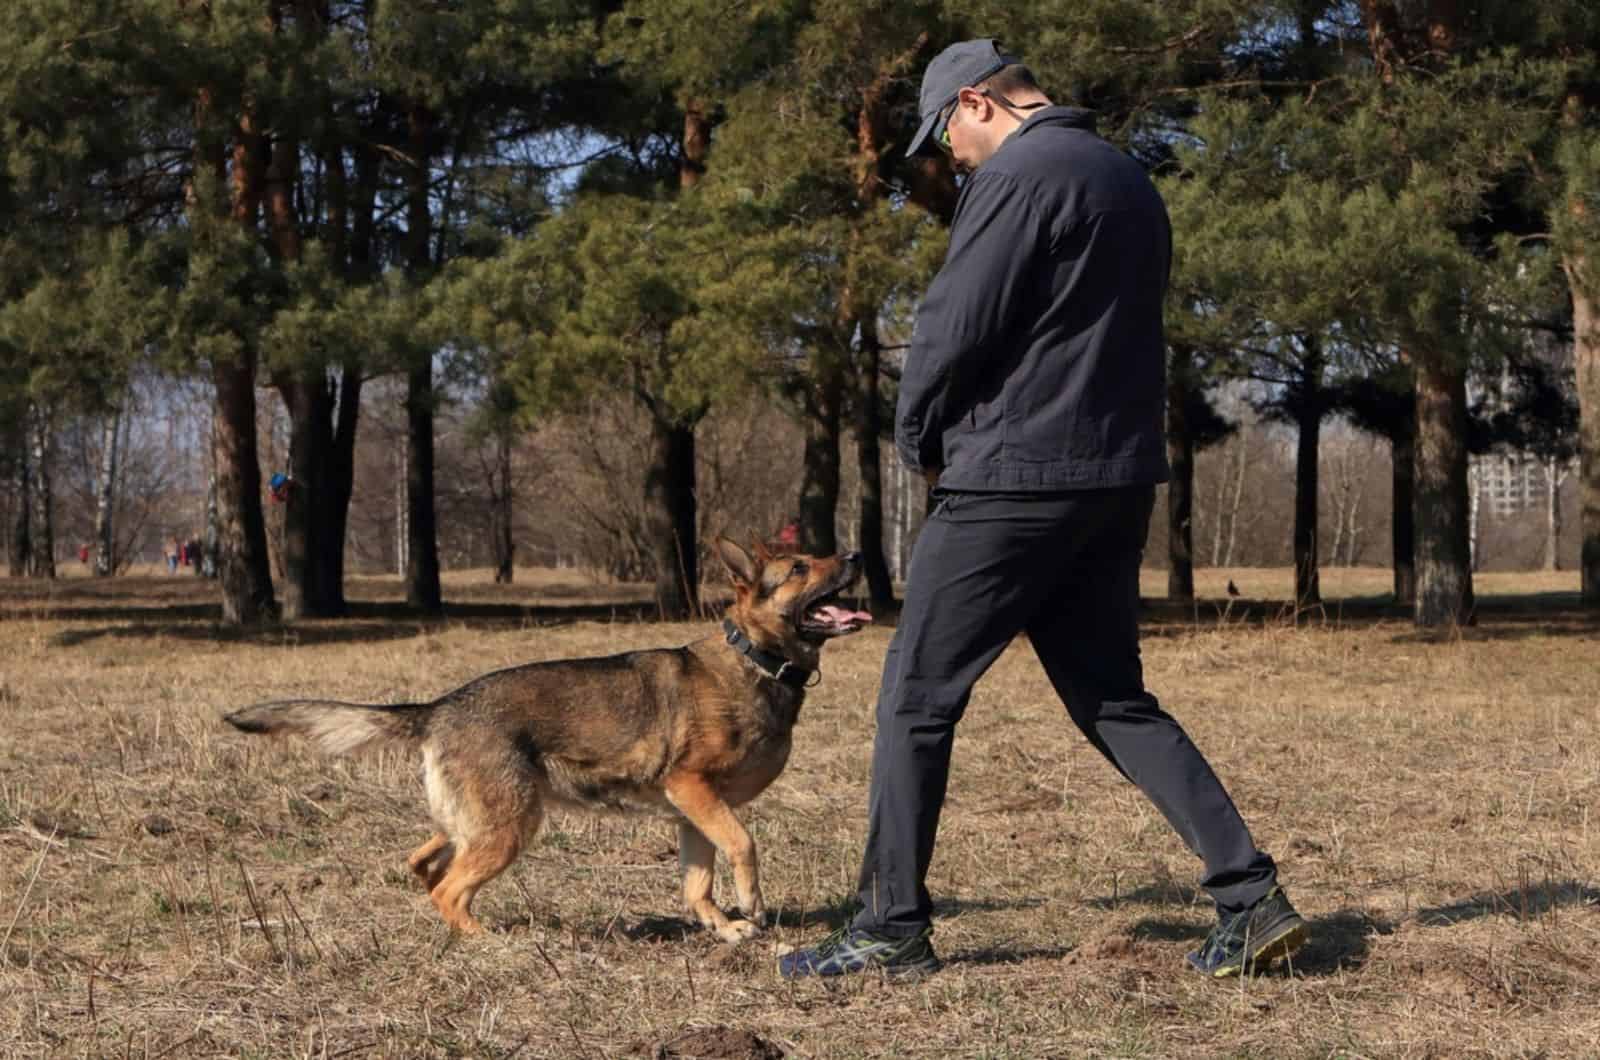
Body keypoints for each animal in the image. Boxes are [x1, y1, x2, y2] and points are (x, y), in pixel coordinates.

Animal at [220, 544, 870, 941]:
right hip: (510, 827)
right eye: (800, 568)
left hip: (477, 823)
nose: (856, 554)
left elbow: (697, 882)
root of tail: (440, 707)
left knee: (424, 864)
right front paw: (751, 904)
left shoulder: (692, 814)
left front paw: (723, 926)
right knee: (449, 890)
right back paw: (486, 940)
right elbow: (743, 845)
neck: (754, 659)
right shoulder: (695, 791)